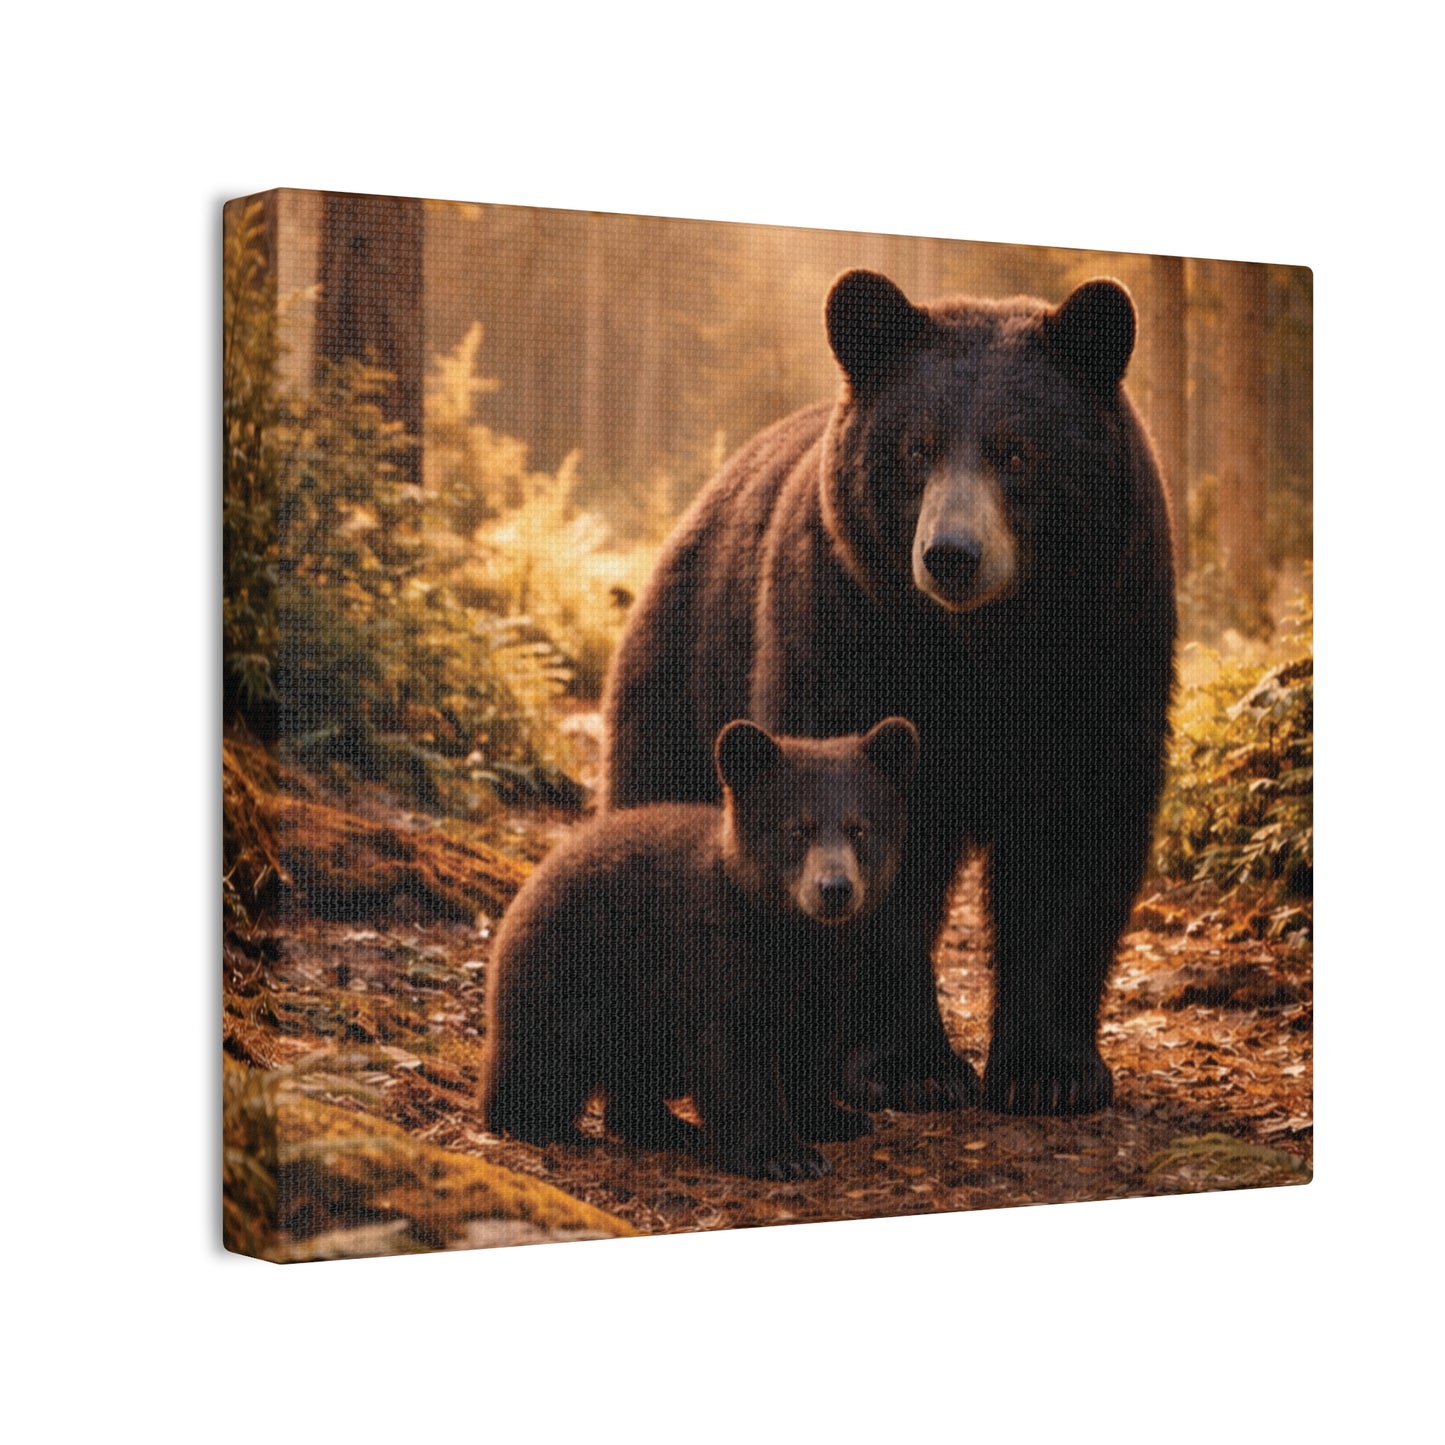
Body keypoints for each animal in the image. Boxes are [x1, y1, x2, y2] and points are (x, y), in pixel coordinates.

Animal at [480, 716, 919, 1179]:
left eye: (859, 828)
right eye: (798, 828)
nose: (834, 888)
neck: (791, 935)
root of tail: (536, 872)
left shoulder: (828, 973)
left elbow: (810, 1044)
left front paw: (833, 1117)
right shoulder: (716, 957)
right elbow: (735, 1054)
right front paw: (784, 1154)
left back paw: (666, 1127)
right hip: (573, 972)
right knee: (545, 1057)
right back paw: (537, 1123)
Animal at [602, 269, 1176, 1116]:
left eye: (1015, 449)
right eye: (916, 447)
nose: (951, 554)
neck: (983, 646)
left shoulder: (1106, 644)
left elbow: (1073, 833)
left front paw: (1050, 1071)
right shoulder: (849, 628)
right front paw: (911, 1066)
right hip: (688, 670)